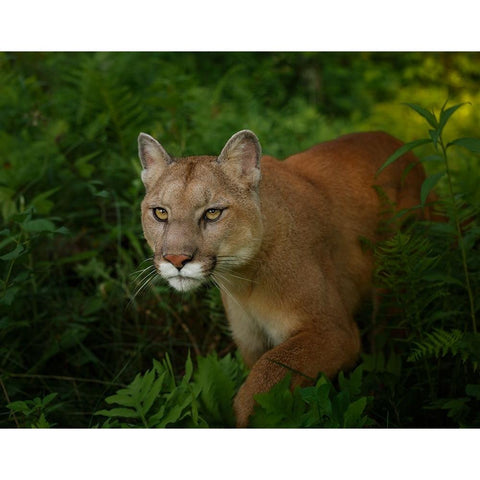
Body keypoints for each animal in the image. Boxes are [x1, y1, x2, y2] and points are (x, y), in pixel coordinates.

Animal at [136, 129, 432, 426]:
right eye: (160, 212)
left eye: (213, 212)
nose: (176, 259)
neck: (243, 282)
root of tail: (395, 141)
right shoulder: (250, 342)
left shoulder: (333, 332)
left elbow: (265, 376)